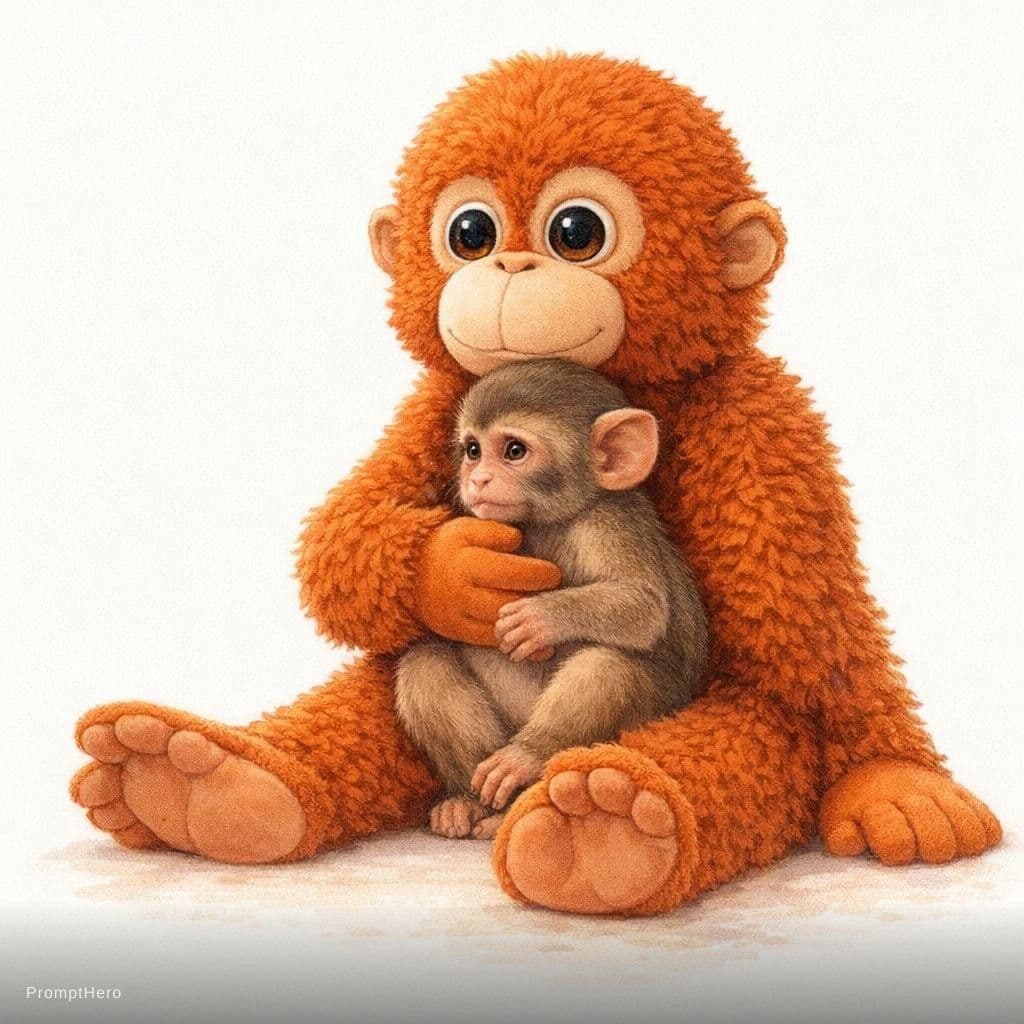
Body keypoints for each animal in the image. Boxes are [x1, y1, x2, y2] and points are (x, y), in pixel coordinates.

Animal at [394, 359, 708, 839]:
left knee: (609, 666)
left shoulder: (608, 523)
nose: (477, 478)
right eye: (472, 450)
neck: (550, 522)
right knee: (422, 665)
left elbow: (644, 607)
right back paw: (473, 802)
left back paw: (525, 759)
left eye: (514, 451)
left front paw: (540, 618)